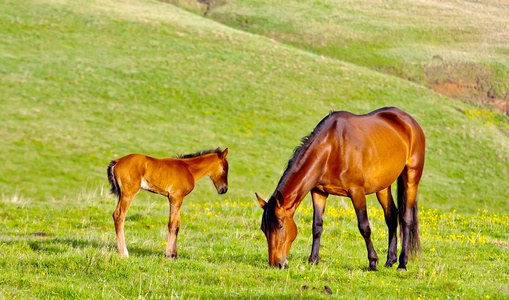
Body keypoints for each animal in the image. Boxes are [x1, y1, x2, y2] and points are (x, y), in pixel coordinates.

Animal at [256, 106, 422, 270]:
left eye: (280, 226)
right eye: (264, 229)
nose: (276, 264)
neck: (332, 147)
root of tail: (409, 121)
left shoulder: (357, 192)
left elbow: (364, 227)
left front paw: (373, 262)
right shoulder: (318, 192)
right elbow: (317, 226)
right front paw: (313, 260)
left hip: (411, 177)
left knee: (406, 219)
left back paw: (402, 263)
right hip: (382, 186)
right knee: (392, 217)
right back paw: (390, 260)